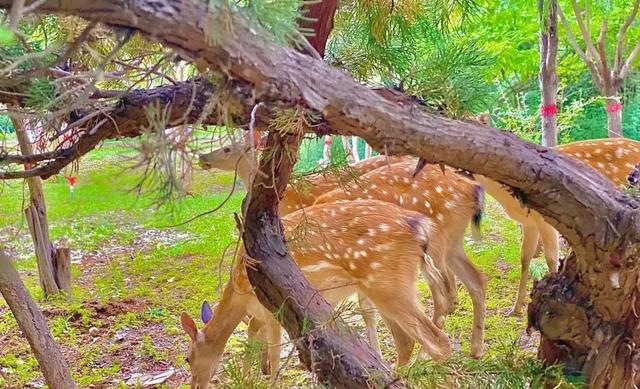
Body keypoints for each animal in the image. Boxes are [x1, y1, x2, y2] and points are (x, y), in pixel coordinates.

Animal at [178, 199, 452, 386]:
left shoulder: (270, 305)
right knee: (409, 340)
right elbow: (252, 342)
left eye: (188, 358)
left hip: (388, 281)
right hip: (386, 285)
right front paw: (247, 379)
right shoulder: (258, 314)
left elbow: (274, 355)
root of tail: (420, 227)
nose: (195, 386)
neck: (238, 294)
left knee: (438, 341)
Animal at [314, 159, 484, 356]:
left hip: (435, 245)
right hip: (452, 243)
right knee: (476, 279)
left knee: (445, 295)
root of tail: (473, 188)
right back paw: (476, 350)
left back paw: (423, 356)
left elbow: (366, 309)